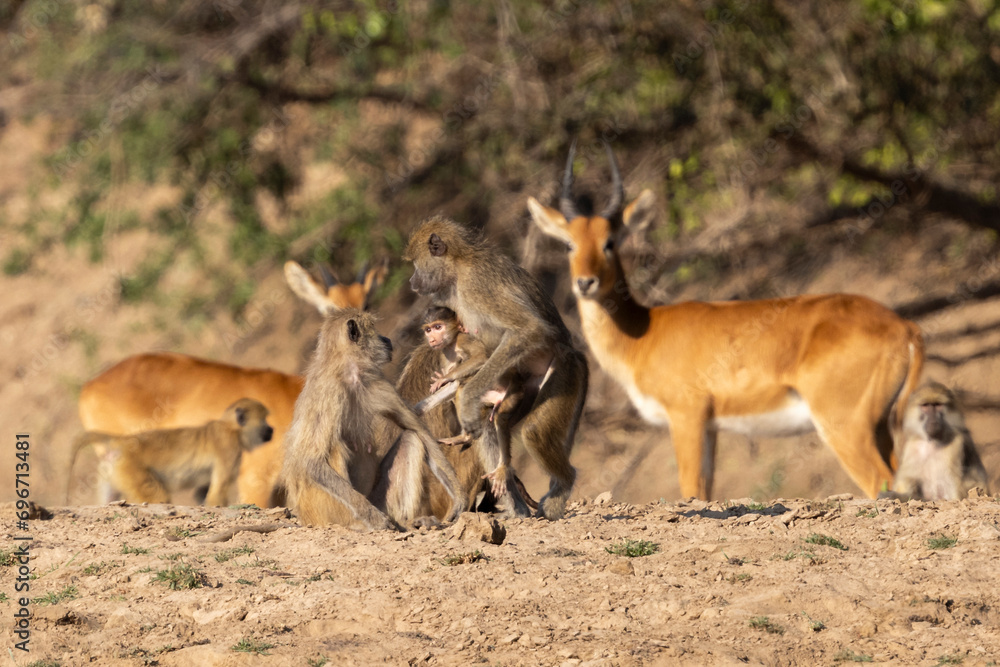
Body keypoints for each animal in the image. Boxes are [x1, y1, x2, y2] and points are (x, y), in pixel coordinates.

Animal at [528, 147, 924, 500]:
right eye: (568, 243)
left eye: (610, 242)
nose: (585, 283)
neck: (644, 334)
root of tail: (904, 327)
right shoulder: (710, 427)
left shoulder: (686, 416)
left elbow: (691, 490)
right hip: (881, 426)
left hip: (844, 427)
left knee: (882, 483)